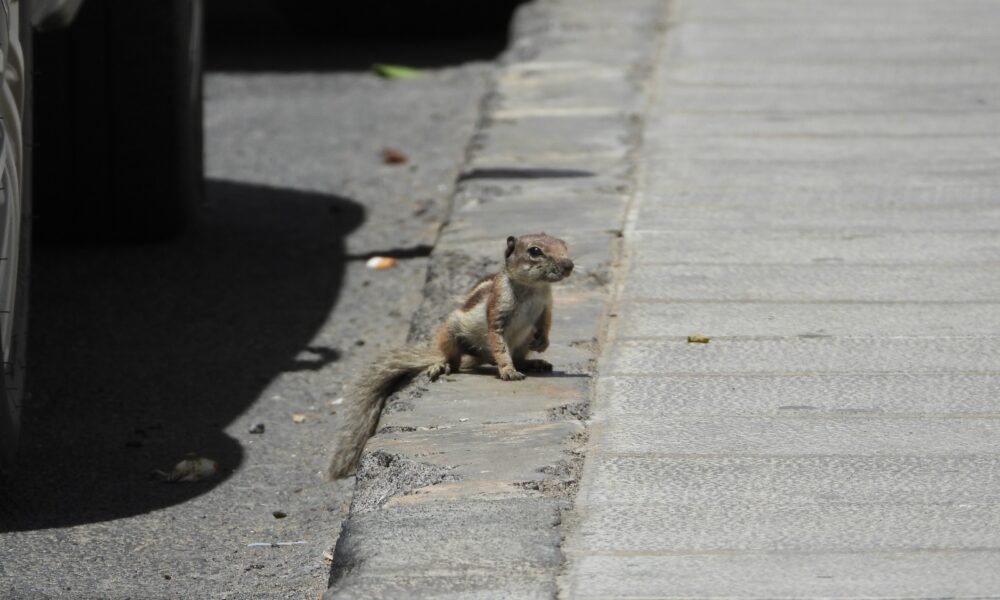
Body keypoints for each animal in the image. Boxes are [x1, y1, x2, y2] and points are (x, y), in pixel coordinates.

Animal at [328, 233, 574, 478]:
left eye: (564, 245)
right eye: (535, 251)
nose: (569, 265)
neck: (533, 288)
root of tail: (478, 357)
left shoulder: (546, 305)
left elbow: (545, 323)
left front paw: (542, 343)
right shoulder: (497, 311)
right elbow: (499, 344)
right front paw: (508, 370)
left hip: (520, 343)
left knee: (516, 356)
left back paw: (535, 362)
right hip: (450, 331)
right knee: (453, 360)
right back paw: (441, 364)